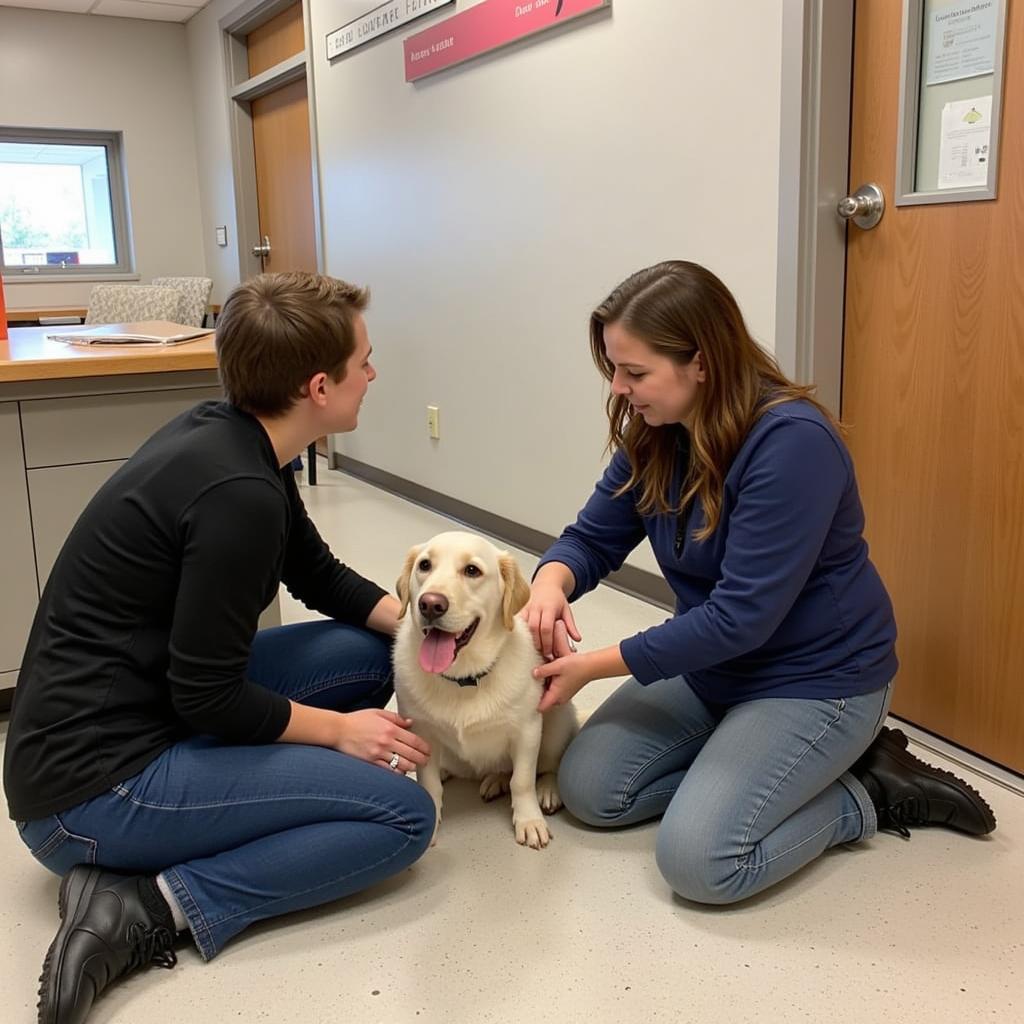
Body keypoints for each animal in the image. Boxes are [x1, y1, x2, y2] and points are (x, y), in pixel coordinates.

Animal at [395, 528, 581, 847]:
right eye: (424, 565)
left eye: (472, 570)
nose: (430, 604)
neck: (464, 678)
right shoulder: (420, 730)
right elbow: (428, 782)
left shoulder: (527, 730)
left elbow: (522, 780)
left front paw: (529, 820)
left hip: (556, 720)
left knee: (548, 764)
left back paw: (545, 788)